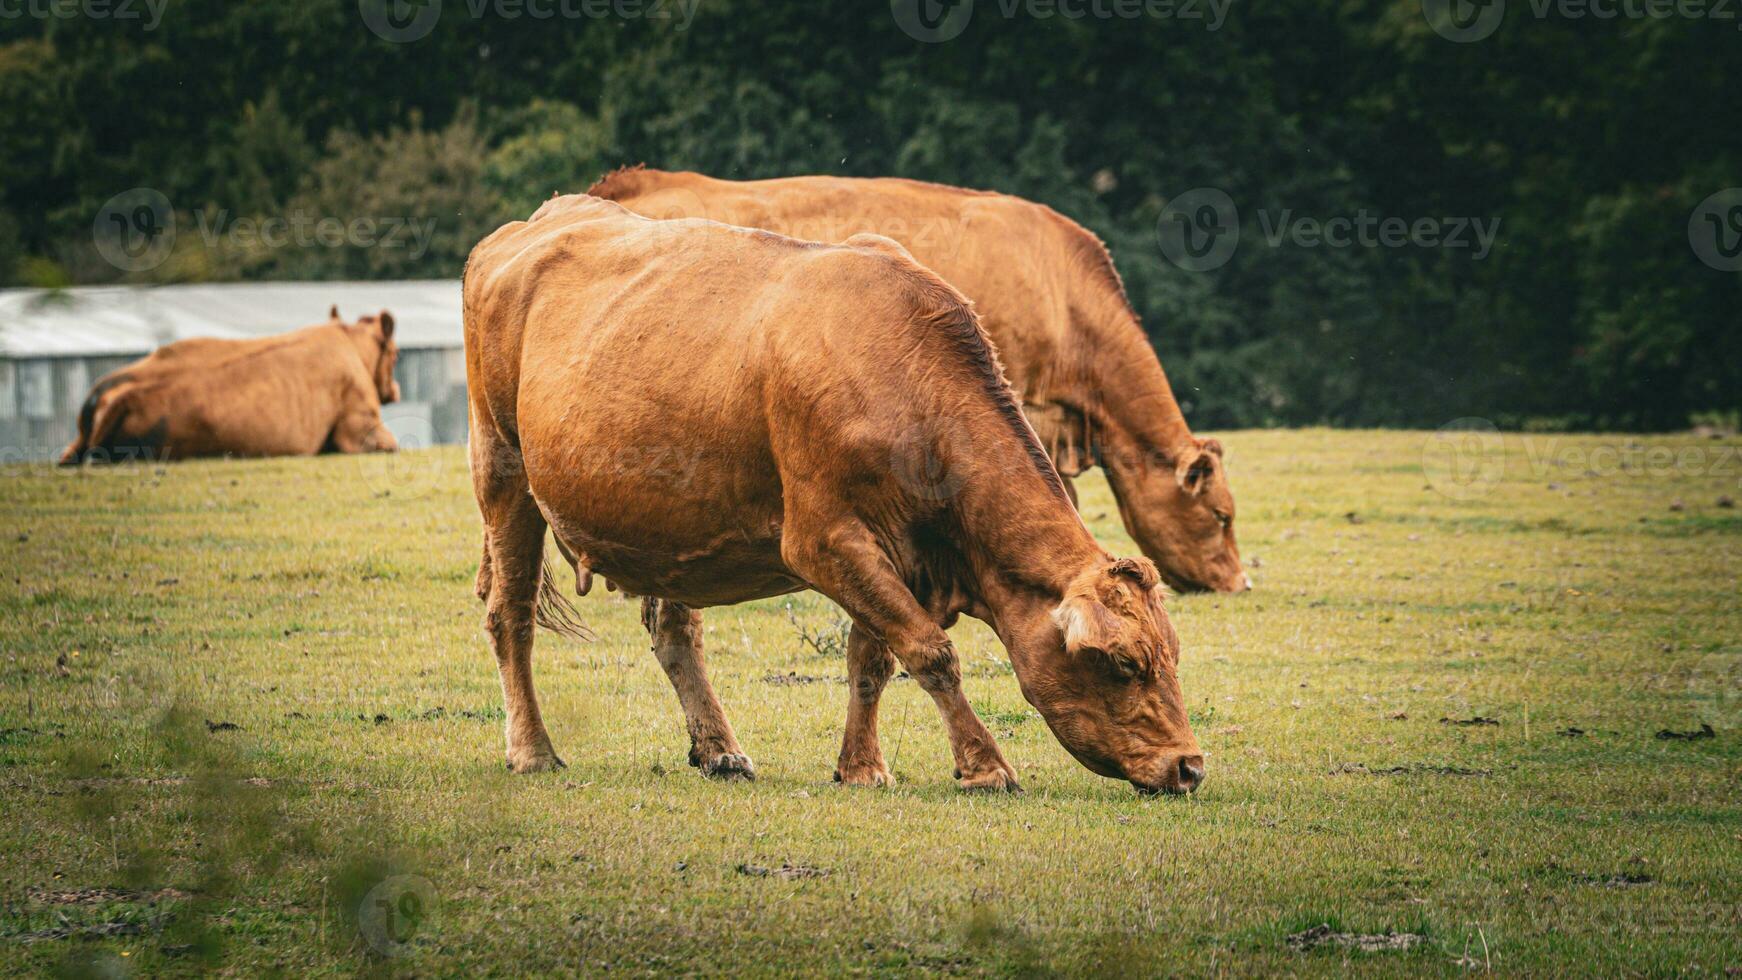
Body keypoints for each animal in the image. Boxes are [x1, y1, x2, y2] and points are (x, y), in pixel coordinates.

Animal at [456, 194, 1205, 797]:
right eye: (1125, 663)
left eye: (1171, 654)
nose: (1190, 766)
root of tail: (538, 219)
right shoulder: (825, 540)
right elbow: (931, 652)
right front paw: (985, 765)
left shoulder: (898, 554)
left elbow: (872, 657)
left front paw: (862, 766)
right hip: (503, 470)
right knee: (509, 614)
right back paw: (533, 750)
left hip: (668, 524)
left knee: (674, 632)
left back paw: (719, 749)